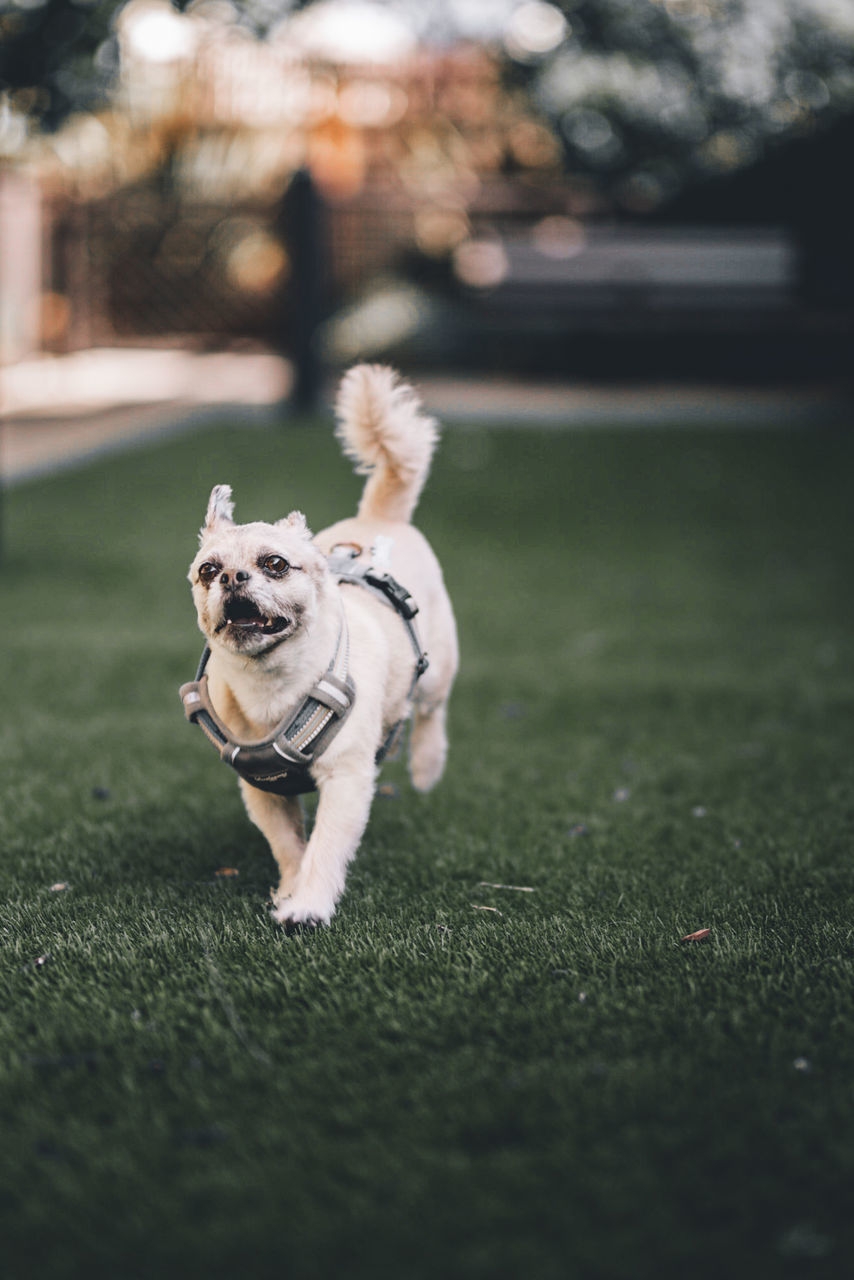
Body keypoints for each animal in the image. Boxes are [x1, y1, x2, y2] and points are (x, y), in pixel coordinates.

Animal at [184, 366, 458, 926]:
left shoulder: (346, 781)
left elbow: (325, 847)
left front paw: (307, 906)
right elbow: (290, 845)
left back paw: (426, 767)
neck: (271, 683)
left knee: (431, 710)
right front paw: (291, 889)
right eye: (207, 571)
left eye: (274, 564)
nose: (232, 577)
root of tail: (380, 519)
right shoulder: (262, 791)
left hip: (439, 666)